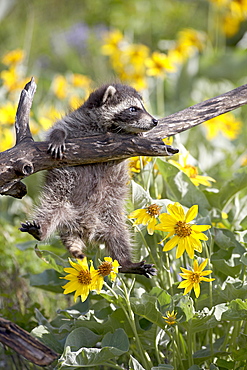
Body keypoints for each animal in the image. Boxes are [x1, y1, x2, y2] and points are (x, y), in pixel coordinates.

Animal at [19, 84, 158, 278]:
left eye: (142, 107)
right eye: (133, 109)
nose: (155, 121)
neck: (106, 126)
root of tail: (83, 227)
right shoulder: (76, 121)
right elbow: (58, 128)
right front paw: (58, 136)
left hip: (111, 217)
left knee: (120, 237)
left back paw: (126, 263)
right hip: (61, 201)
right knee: (50, 210)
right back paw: (41, 229)